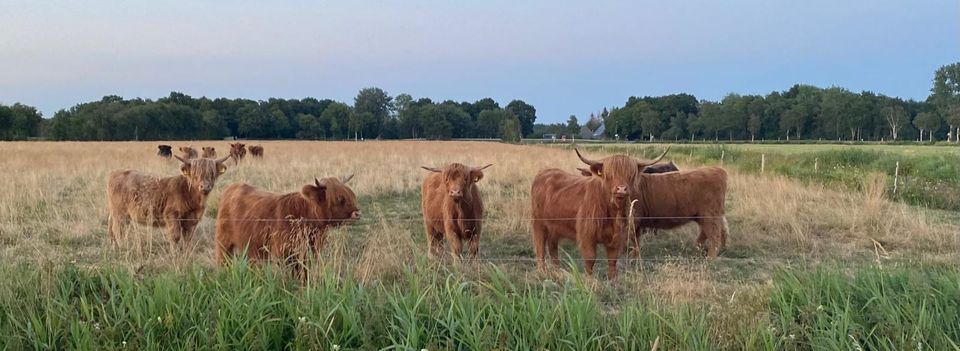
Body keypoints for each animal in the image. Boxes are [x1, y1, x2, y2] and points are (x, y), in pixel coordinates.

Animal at [216, 176, 362, 278]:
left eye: (352, 195)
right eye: (340, 198)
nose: (357, 213)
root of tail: (233, 186)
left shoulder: (308, 254)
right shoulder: (282, 254)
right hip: (223, 243)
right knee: (223, 261)